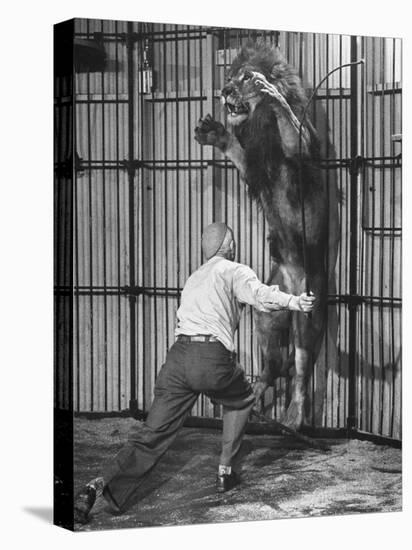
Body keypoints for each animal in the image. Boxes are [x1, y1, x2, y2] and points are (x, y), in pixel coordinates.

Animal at [194, 43, 338, 432]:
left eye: (246, 77)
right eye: (230, 76)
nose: (226, 90)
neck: (260, 124)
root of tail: (290, 283)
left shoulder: (302, 150)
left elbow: (293, 127)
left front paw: (273, 94)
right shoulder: (254, 164)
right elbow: (237, 151)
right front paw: (216, 135)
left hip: (307, 312)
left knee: (301, 371)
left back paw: (292, 417)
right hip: (266, 315)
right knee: (271, 367)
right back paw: (252, 397)